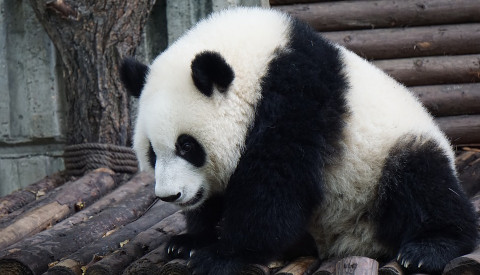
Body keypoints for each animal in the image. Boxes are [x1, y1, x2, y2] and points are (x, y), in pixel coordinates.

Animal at [120, 6, 476, 275]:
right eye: (152, 153)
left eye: (187, 146)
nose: (170, 195)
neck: (255, 62)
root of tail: (354, 242)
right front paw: (189, 242)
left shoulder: (296, 100)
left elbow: (275, 187)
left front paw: (223, 255)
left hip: (386, 160)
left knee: (422, 181)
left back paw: (427, 249)